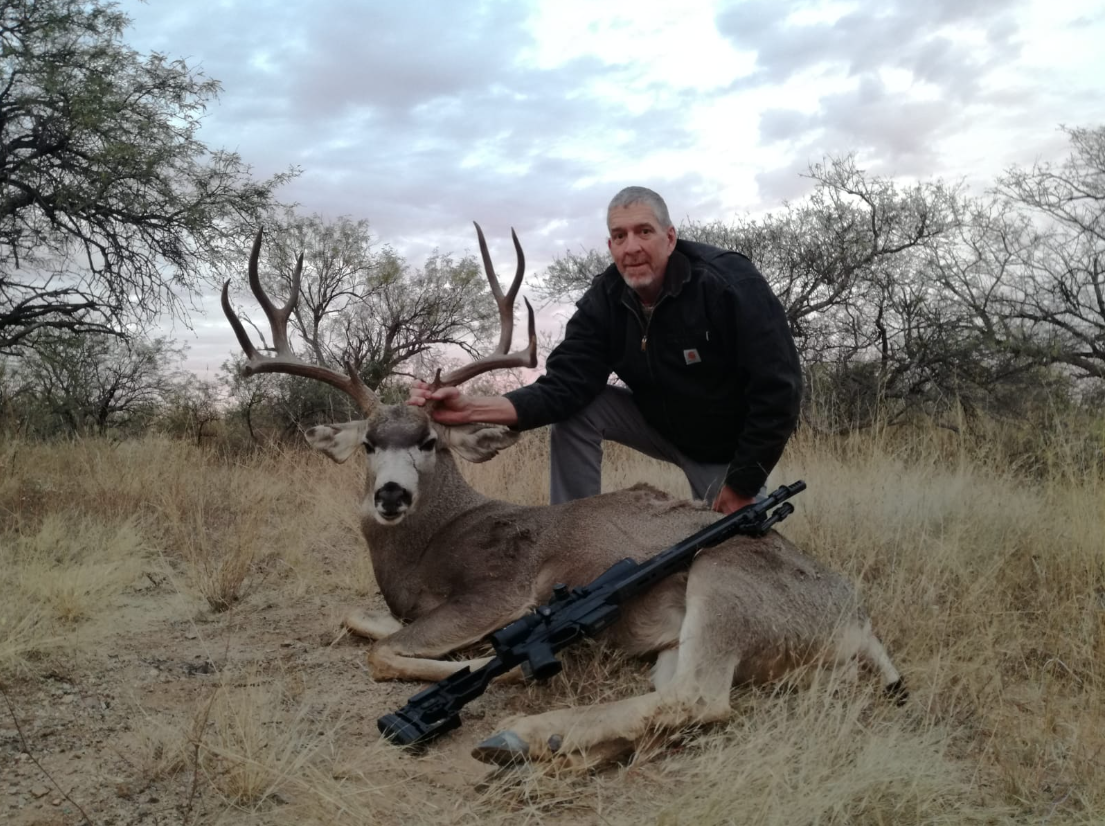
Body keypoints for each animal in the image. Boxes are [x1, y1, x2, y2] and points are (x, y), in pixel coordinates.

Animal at [222, 225, 906, 769]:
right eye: (367, 444)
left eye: (430, 442)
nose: (391, 494)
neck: (428, 545)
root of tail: (860, 624)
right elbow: (356, 619)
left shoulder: (497, 592)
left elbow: (386, 652)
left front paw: (471, 671)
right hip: (680, 638)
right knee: (669, 697)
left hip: (726, 578)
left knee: (703, 699)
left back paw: (520, 735)